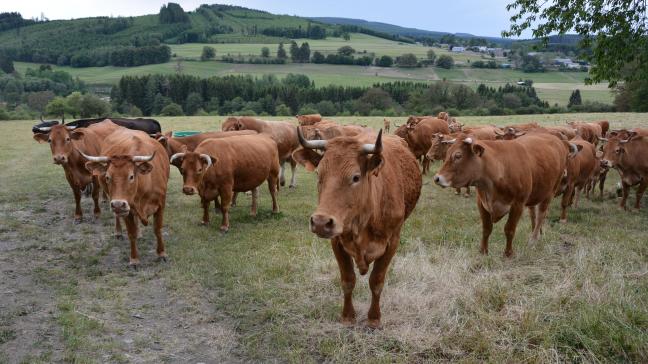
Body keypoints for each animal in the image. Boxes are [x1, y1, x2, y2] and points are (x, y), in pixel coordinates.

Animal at [81, 128, 170, 268]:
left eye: (131, 176)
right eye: (107, 177)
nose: (118, 204)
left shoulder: (161, 204)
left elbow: (157, 229)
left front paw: (161, 254)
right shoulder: (127, 209)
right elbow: (131, 233)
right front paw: (134, 259)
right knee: (118, 217)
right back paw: (118, 232)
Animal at [294, 129, 426, 328]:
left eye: (355, 177)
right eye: (318, 174)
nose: (320, 222)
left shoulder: (392, 242)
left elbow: (377, 281)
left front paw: (374, 318)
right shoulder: (337, 241)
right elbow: (348, 280)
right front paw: (348, 316)